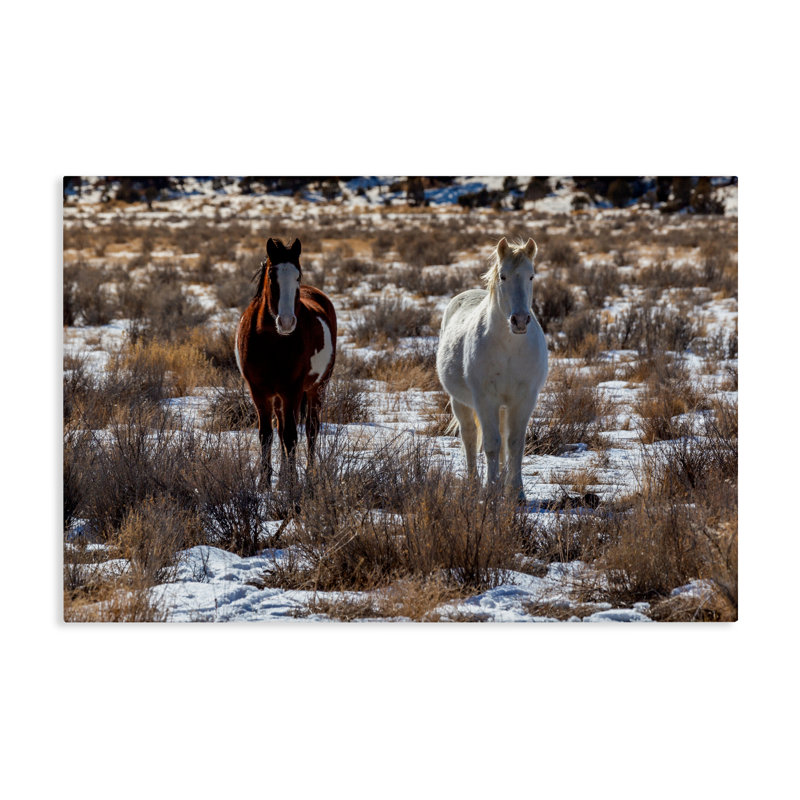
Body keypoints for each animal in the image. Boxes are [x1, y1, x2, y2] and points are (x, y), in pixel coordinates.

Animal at [235, 237, 337, 486]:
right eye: (272, 275)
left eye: (298, 276)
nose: (287, 322)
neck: (272, 343)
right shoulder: (259, 391)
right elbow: (267, 434)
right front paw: (265, 483)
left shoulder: (292, 389)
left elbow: (291, 436)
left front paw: (291, 484)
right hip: (280, 397)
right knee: (281, 429)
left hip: (317, 388)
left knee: (311, 429)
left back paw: (308, 473)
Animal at [435, 237, 548, 501]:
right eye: (503, 276)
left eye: (531, 276)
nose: (519, 321)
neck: (509, 347)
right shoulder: (485, 400)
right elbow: (491, 444)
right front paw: (490, 491)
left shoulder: (524, 399)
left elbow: (515, 443)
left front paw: (516, 493)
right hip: (461, 402)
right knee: (469, 437)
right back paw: (473, 484)